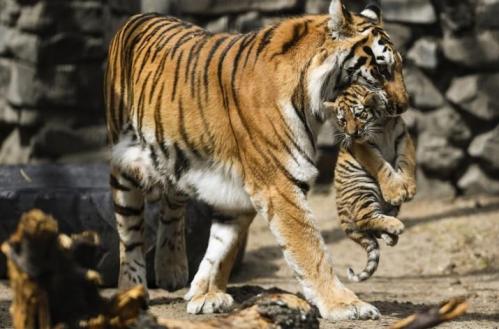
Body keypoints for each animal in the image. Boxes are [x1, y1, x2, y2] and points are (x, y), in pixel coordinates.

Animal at [104, 0, 410, 320]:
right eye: (381, 69)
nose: (403, 106)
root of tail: (139, 16)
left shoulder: (238, 193)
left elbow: (221, 248)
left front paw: (206, 294)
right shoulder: (279, 183)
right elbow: (310, 249)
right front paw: (345, 304)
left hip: (178, 155)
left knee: (173, 201)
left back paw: (171, 270)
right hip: (125, 166)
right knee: (130, 235)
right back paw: (131, 289)